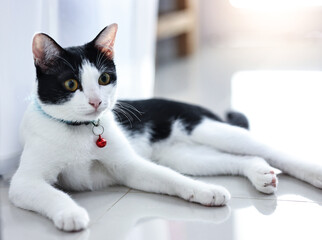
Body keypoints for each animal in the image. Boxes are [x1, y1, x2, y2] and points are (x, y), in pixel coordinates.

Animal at [8, 23, 322, 232]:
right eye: (71, 84)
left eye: (104, 79)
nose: (97, 101)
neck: (82, 130)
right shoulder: (24, 182)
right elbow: (51, 193)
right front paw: (71, 214)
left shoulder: (129, 166)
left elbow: (170, 178)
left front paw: (205, 191)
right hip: (187, 156)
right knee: (243, 158)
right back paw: (260, 175)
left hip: (207, 129)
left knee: (269, 149)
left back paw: (313, 173)